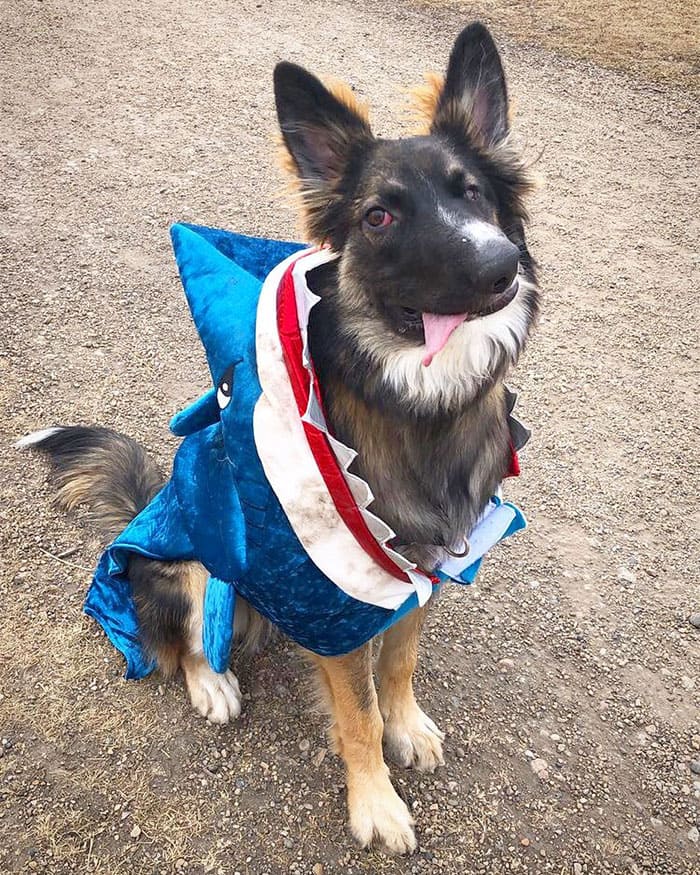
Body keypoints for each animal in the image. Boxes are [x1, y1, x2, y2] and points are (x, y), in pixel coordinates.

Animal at [19, 20, 540, 856]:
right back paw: (213, 681)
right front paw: (375, 799)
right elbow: (356, 709)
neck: (416, 411)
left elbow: (399, 663)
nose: (500, 266)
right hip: (190, 557)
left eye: (471, 192)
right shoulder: (328, 593)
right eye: (379, 216)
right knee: (185, 637)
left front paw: (407, 724)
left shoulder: (424, 566)